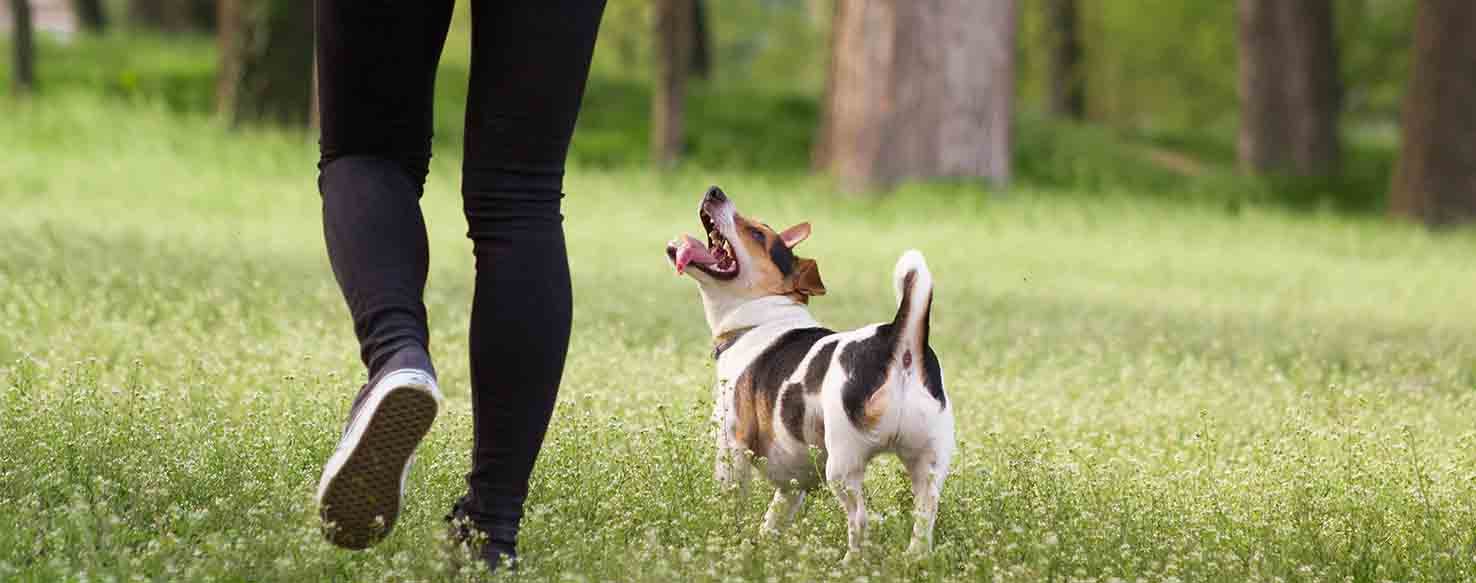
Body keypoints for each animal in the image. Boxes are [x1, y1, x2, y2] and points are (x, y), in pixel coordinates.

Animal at [664, 187, 950, 560]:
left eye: (758, 234)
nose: (715, 191)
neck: (761, 318)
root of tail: (896, 342)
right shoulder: (794, 479)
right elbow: (774, 516)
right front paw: (761, 546)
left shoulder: (732, 445)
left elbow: (730, 501)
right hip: (928, 465)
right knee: (925, 516)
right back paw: (914, 558)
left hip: (843, 466)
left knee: (860, 519)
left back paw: (849, 563)